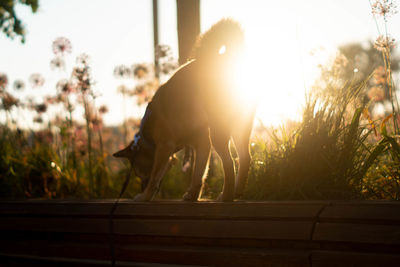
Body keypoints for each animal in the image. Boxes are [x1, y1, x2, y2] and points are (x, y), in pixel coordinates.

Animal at [114, 18, 255, 202]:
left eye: (139, 173)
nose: (142, 186)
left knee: (229, 163)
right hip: (240, 128)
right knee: (244, 158)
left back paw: (227, 195)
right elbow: (199, 173)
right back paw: (237, 191)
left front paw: (145, 195)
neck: (149, 134)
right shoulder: (201, 143)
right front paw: (193, 194)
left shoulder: (164, 147)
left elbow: (156, 177)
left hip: (218, 131)